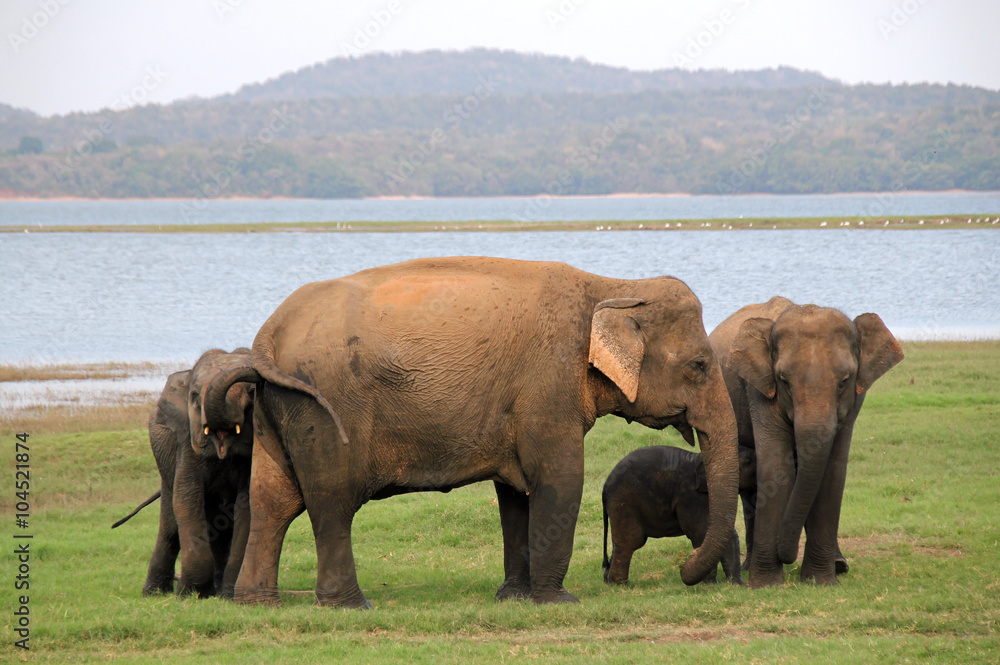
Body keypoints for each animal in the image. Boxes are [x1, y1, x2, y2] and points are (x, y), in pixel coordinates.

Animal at [114, 348, 256, 599]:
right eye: (195, 396)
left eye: (251, 393)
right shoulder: (185, 443)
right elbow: (187, 500)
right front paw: (191, 593)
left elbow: (246, 505)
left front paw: (228, 595)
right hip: (165, 466)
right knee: (170, 529)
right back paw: (154, 593)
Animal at [208, 256, 739, 608]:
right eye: (698, 365)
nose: (686, 571)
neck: (611, 283)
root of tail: (269, 332)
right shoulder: (547, 386)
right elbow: (560, 481)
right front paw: (557, 601)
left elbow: (516, 492)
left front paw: (513, 598)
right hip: (323, 406)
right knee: (331, 502)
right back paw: (350, 605)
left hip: (277, 408)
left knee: (272, 500)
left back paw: (258, 603)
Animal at [602, 445, 757, 586]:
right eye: (748, 461)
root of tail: (605, 488)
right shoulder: (690, 495)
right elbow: (700, 532)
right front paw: (710, 586)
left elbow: (726, 533)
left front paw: (737, 585)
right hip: (623, 502)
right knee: (630, 541)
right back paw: (621, 586)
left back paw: (609, 582)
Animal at [709, 297, 903, 587]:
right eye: (784, 380)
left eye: (844, 380)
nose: (785, 555)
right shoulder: (759, 389)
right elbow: (776, 468)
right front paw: (767, 584)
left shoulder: (856, 397)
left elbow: (833, 471)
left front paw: (819, 581)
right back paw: (750, 567)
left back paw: (838, 565)